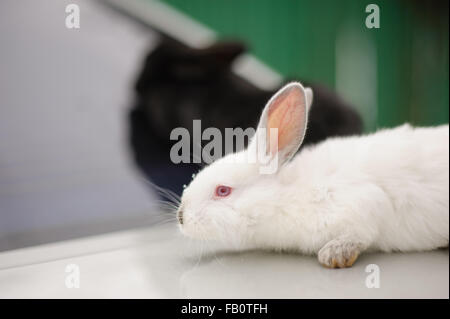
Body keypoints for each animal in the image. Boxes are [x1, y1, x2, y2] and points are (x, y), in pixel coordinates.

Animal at [178, 83, 448, 270]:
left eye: (223, 190)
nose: (181, 217)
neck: (285, 197)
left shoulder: (364, 202)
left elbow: (361, 233)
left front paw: (334, 254)